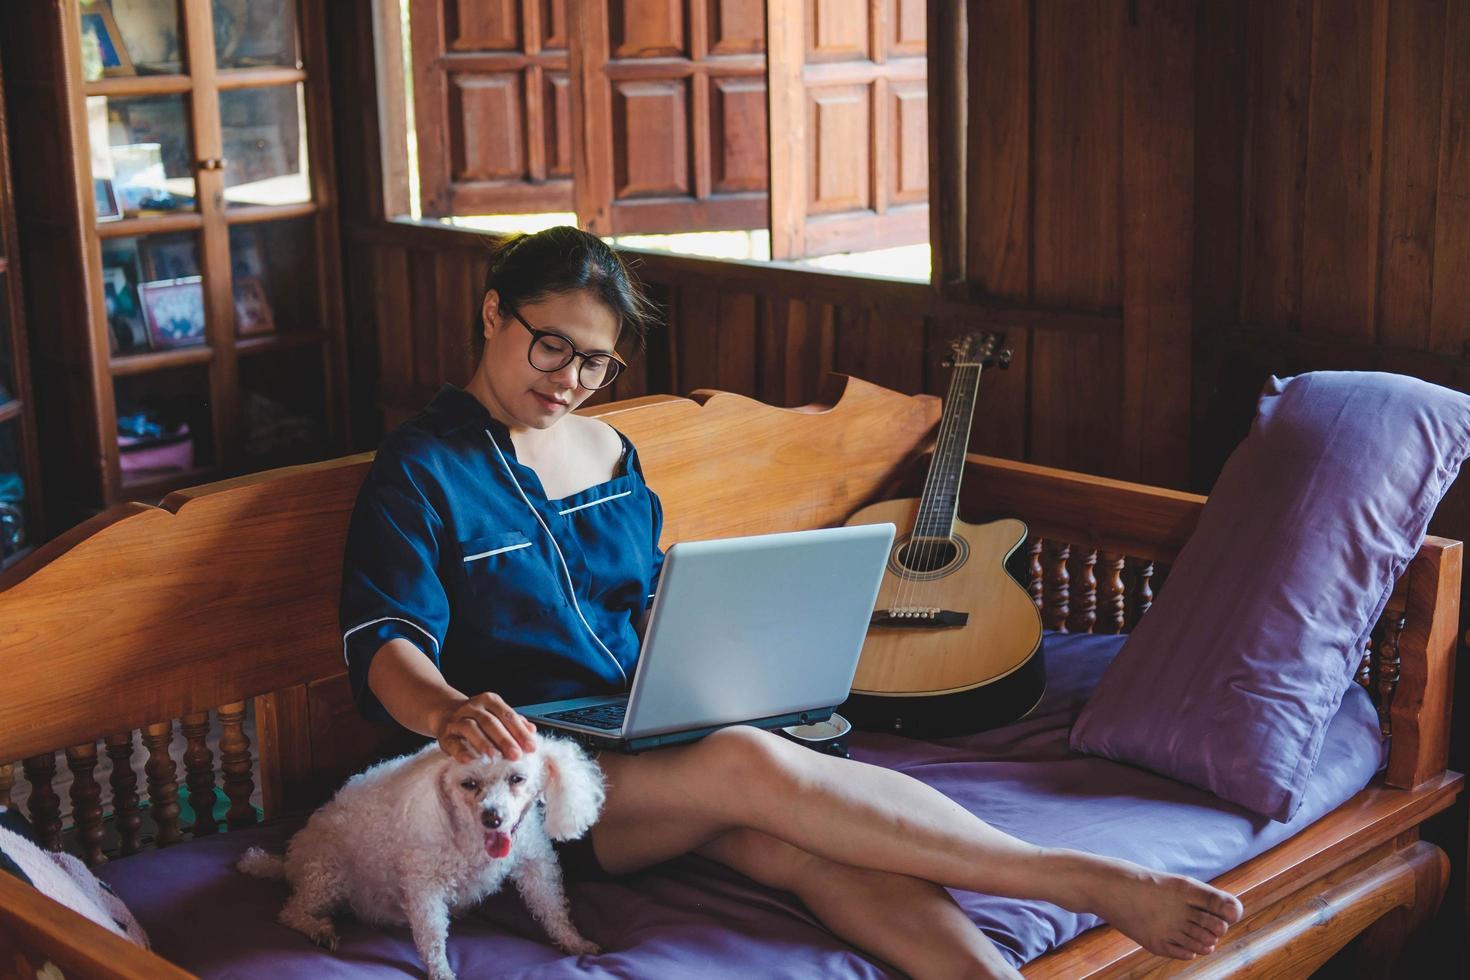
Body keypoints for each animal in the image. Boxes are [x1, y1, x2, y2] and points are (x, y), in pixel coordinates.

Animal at [238, 734, 605, 980]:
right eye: (469, 784)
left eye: (517, 778)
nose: (492, 817)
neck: (473, 839)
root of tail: (290, 860)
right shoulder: (424, 883)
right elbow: (431, 934)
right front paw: (441, 972)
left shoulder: (535, 862)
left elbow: (552, 907)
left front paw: (575, 941)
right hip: (329, 874)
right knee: (290, 911)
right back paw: (318, 928)